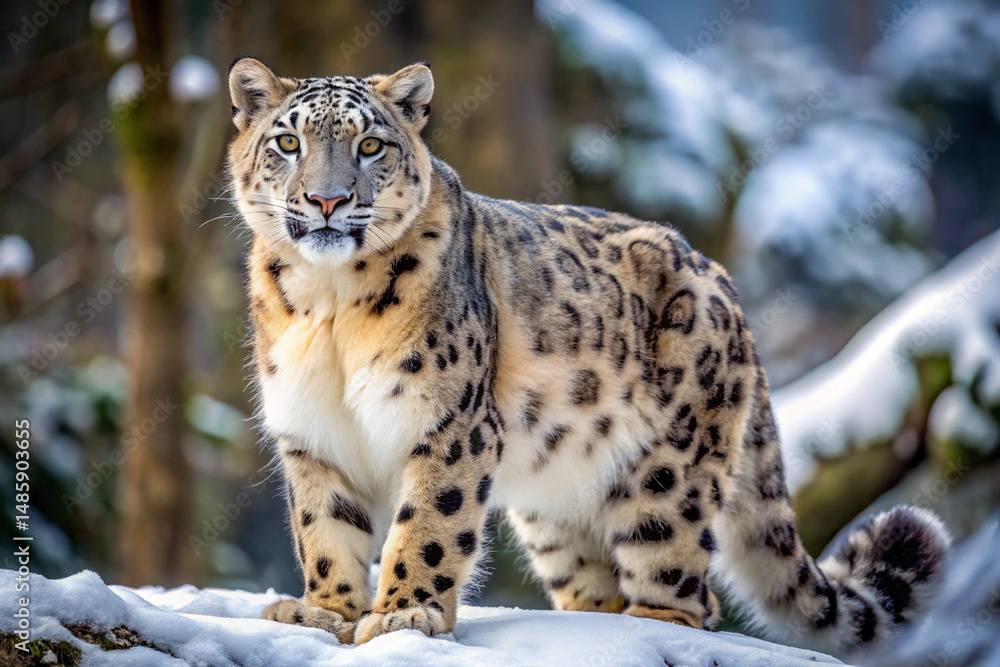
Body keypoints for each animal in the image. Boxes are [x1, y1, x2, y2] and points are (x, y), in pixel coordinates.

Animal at [225, 57, 950, 655]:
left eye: (370, 145)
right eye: (288, 143)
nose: (327, 199)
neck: (328, 307)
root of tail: (723, 283)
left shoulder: (450, 423)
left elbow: (429, 523)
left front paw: (406, 613)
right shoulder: (313, 434)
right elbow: (325, 529)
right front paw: (323, 611)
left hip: (669, 478)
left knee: (686, 590)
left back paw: (646, 629)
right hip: (557, 503)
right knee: (593, 578)